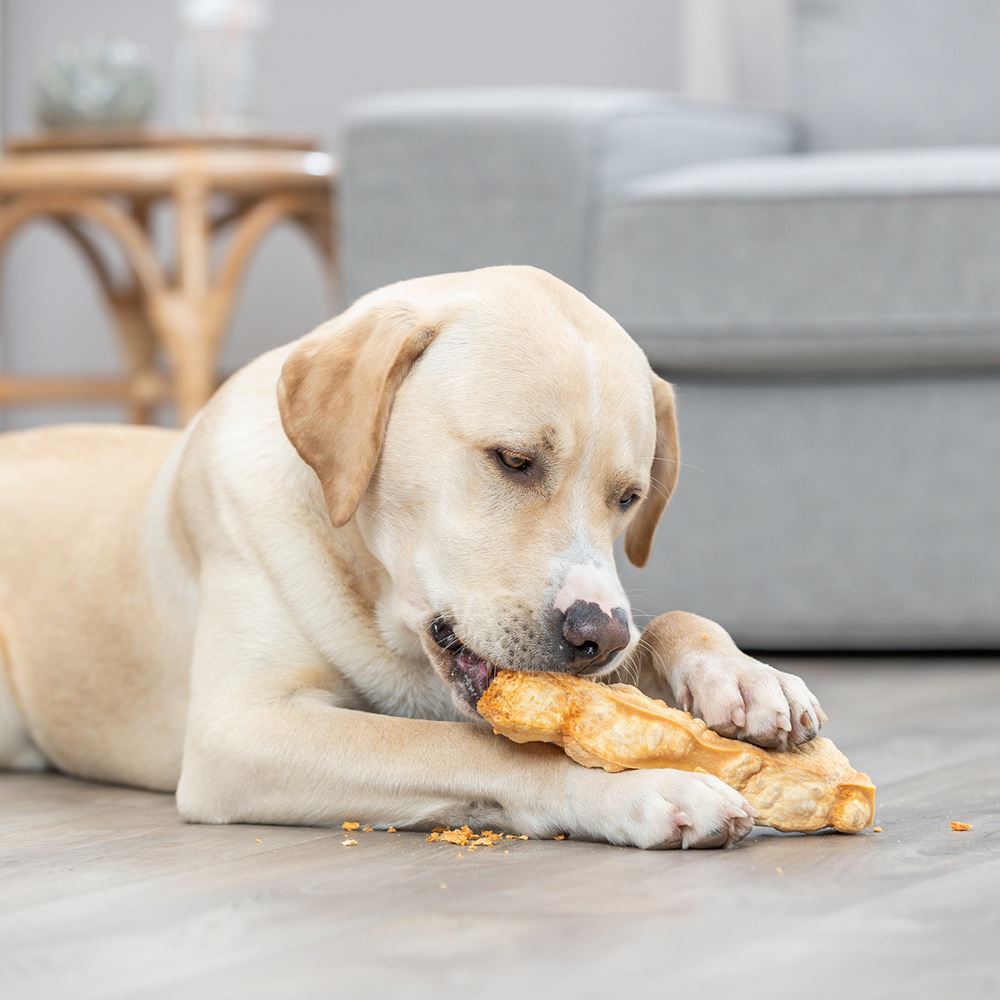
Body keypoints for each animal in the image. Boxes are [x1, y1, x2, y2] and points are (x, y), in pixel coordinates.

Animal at [0, 268, 824, 852]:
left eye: (629, 497)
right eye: (513, 460)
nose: (599, 636)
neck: (371, 591)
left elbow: (672, 622)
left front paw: (746, 679)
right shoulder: (239, 731)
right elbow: (480, 749)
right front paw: (645, 790)